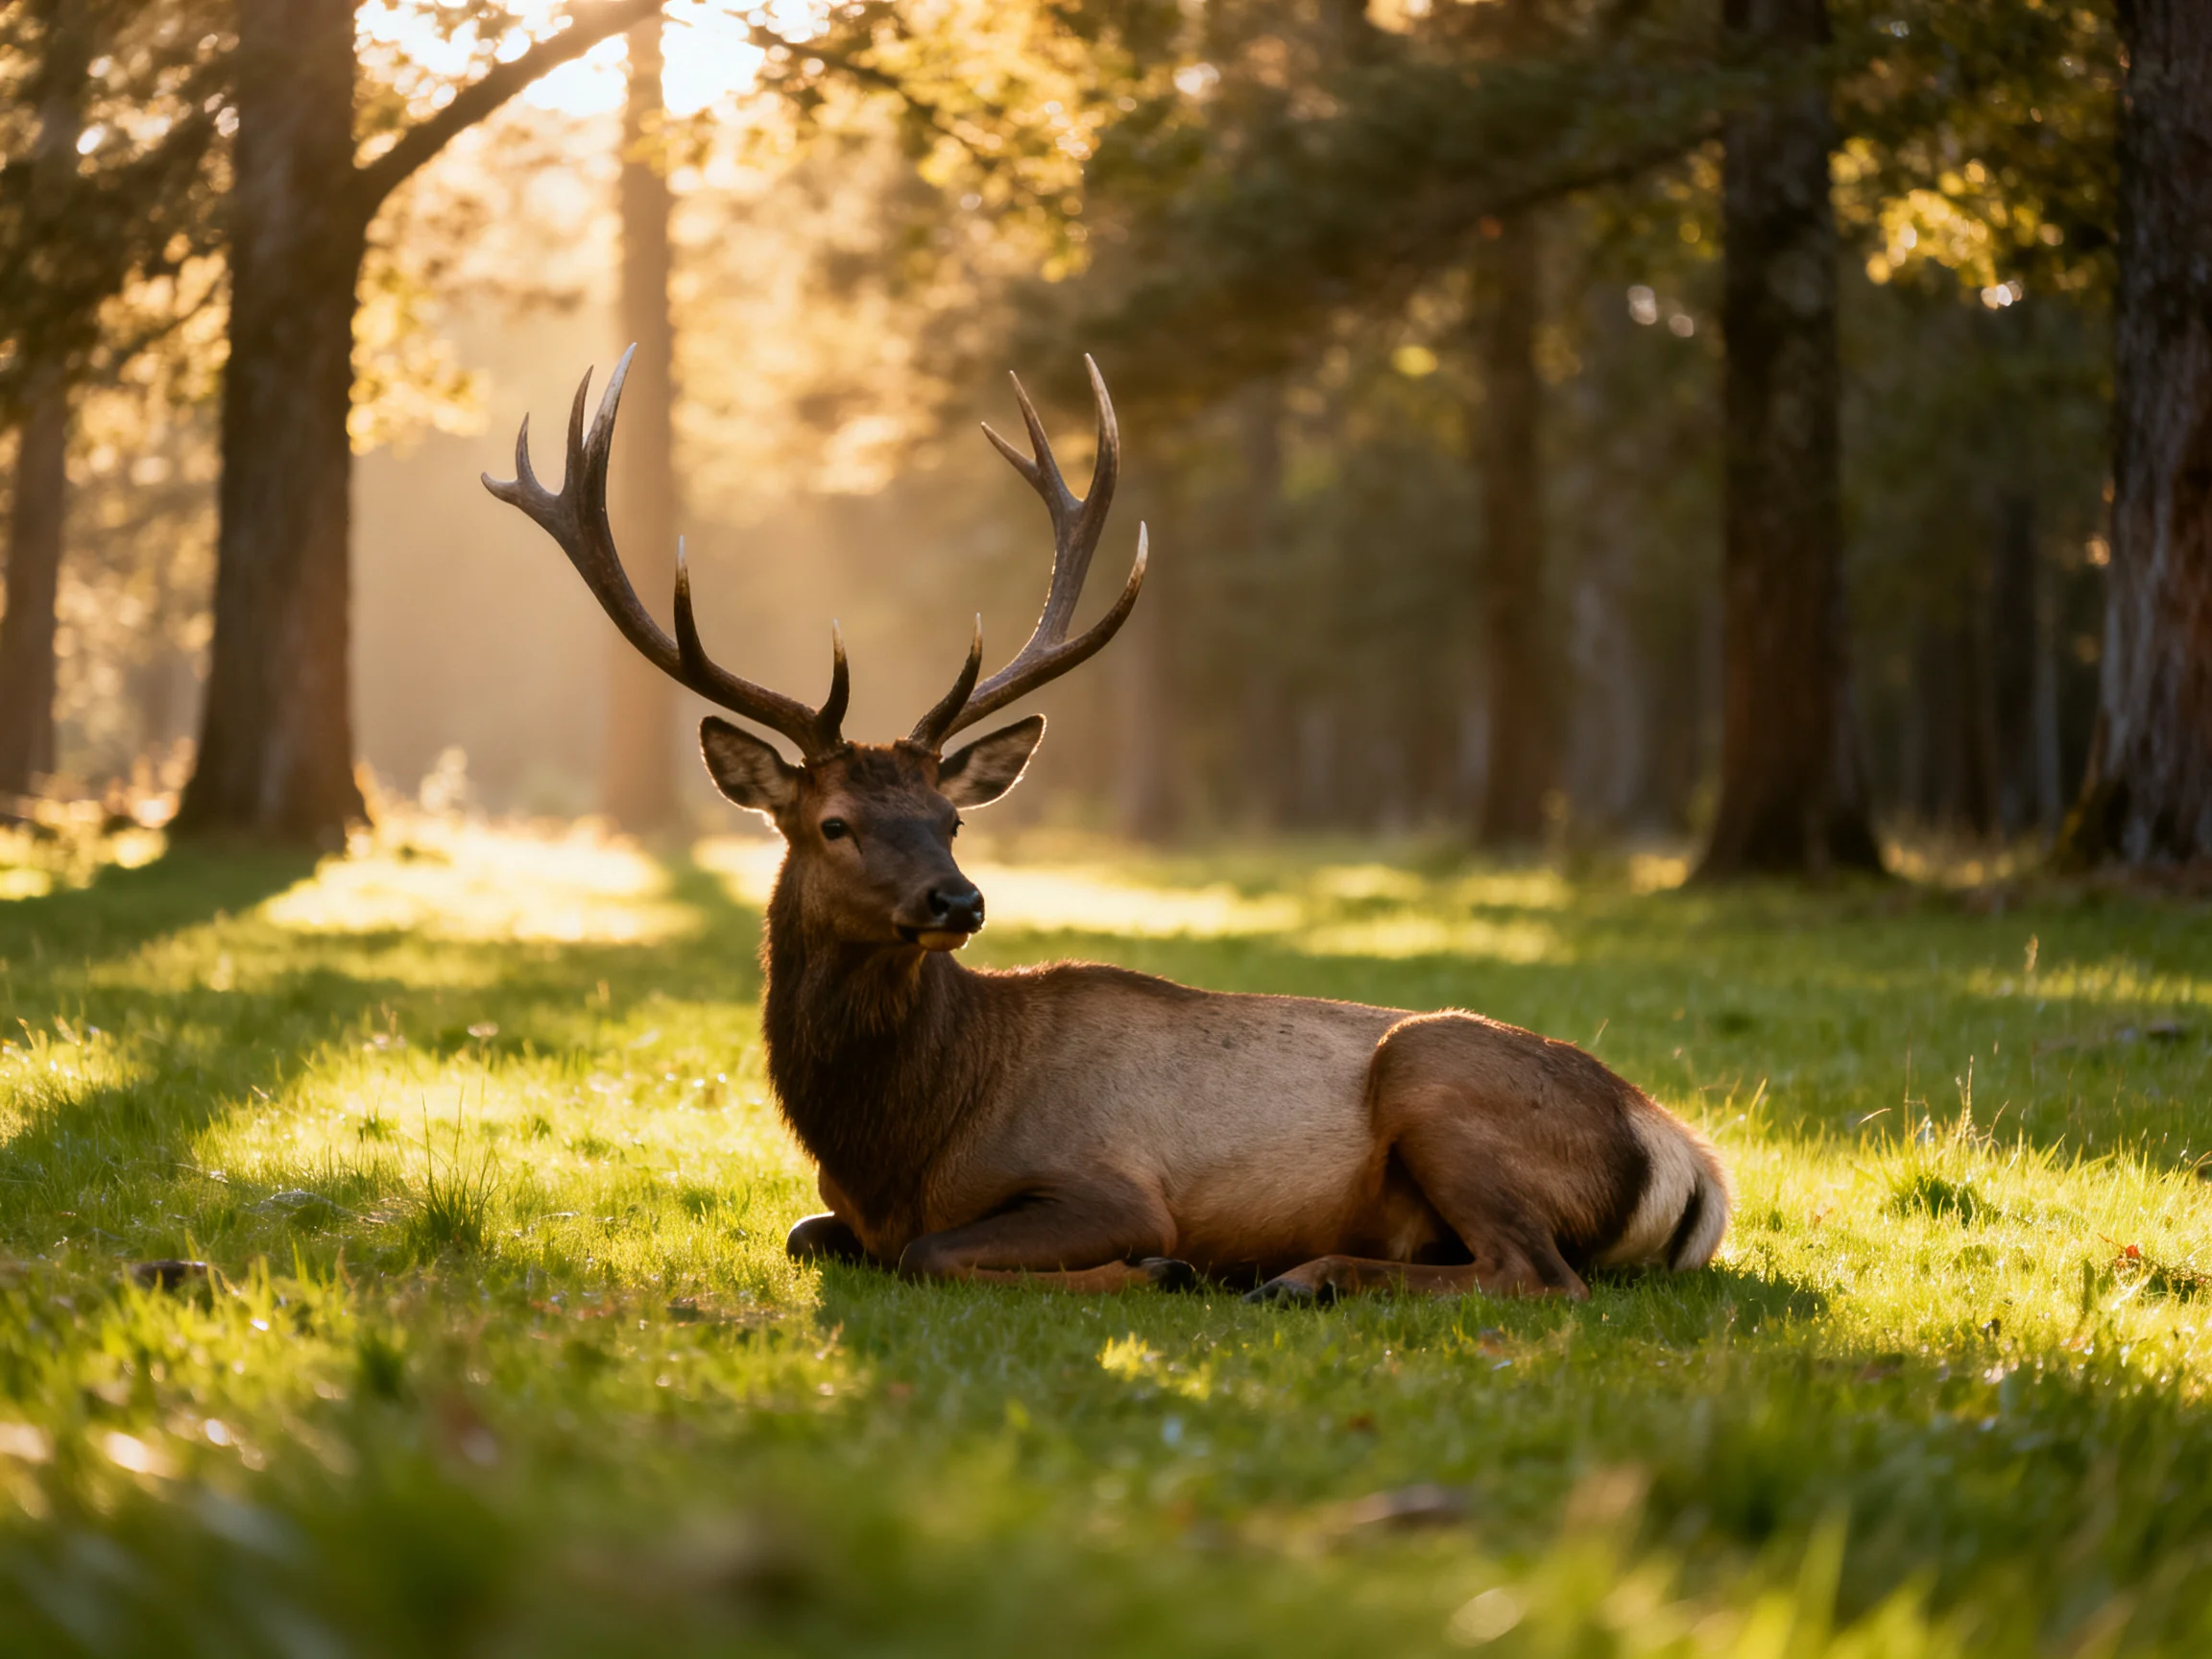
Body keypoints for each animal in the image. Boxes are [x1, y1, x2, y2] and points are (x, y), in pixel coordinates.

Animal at [485, 349, 1730, 1303]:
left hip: (1435, 1073)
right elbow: (807, 1233)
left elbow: (939, 1253)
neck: (897, 1140)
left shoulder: (1110, 1181)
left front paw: (1159, 1272)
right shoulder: (841, 1210)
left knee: (1537, 1274)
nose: (959, 900)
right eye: (833, 824)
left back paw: (1303, 1277)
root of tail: (1688, 1156)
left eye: (950, 818)